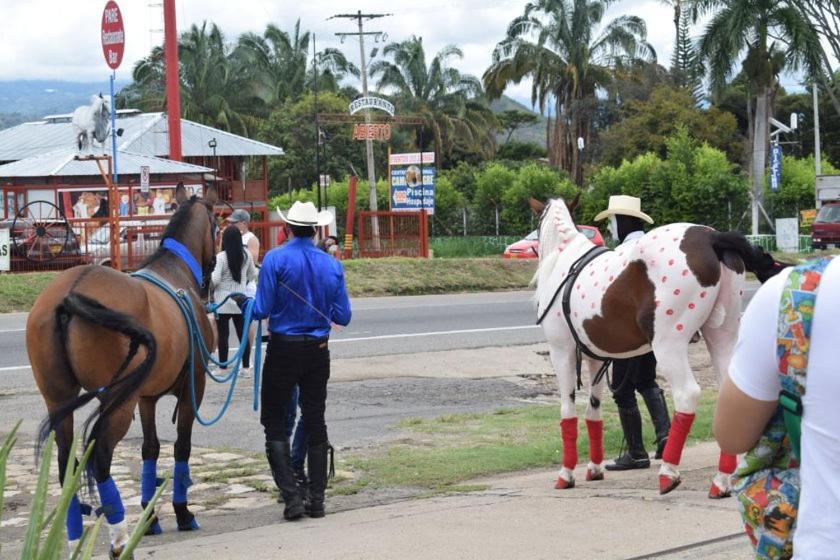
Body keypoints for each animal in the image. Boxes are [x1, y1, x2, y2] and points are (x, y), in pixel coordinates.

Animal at [29, 184, 218, 556]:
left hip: (60, 402)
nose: (211, 279)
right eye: (219, 226)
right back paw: (118, 539)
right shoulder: (193, 389)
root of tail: (71, 291)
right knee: (101, 459)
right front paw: (181, 511)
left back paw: (73, 536)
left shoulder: (146, 398)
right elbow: (181, 447)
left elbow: (150, 449)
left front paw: (151, 517)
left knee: (66, 464)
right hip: (118, 403)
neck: (174, 271)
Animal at [532, 197, 788, 494]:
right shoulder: (595, 357)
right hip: (722, 335)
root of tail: (710, 237)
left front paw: (566, 474)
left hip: (669, 346)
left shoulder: (561, 350)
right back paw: (721, 481)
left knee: (686, 394)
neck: (564, 261)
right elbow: (593, 412)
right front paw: (594, 469)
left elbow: (568, 411)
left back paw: (668, 473)